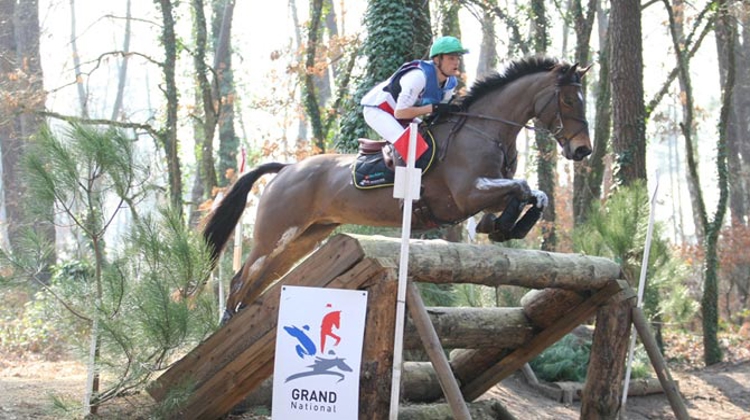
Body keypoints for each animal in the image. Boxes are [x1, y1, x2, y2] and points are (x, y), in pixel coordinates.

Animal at [204, 55, 592, 318]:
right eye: (568, 100)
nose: (582, 150)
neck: (485, 130)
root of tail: (287, 169)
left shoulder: (487, 192)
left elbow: (533, 194)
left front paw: (504, 227)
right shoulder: (468, 194)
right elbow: (521, 187)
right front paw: (504, 225)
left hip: (307, 236)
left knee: (258, 281)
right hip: (275, 234)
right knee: (241, 279)